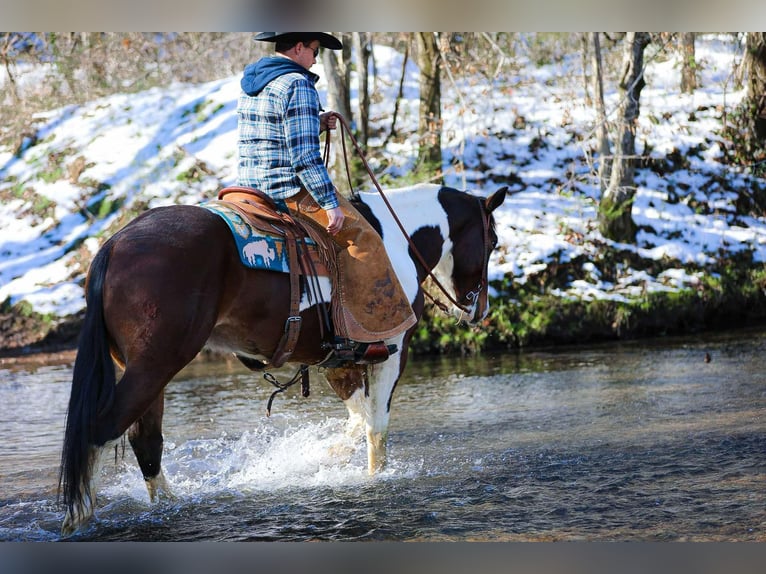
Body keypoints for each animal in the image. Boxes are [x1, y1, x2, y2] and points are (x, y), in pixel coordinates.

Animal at [60, 183, 510, 536]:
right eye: (493, 243)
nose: (480, 310)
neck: (395, 241)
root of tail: (115, 244)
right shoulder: (392, 351)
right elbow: (376, 427)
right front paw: (372, 479)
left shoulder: (339, 362)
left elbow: (357, 419)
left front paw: (321, 458)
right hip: (156, 364)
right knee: (100, 431)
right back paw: (79, 517)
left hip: (146, 370)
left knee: (145, 440)